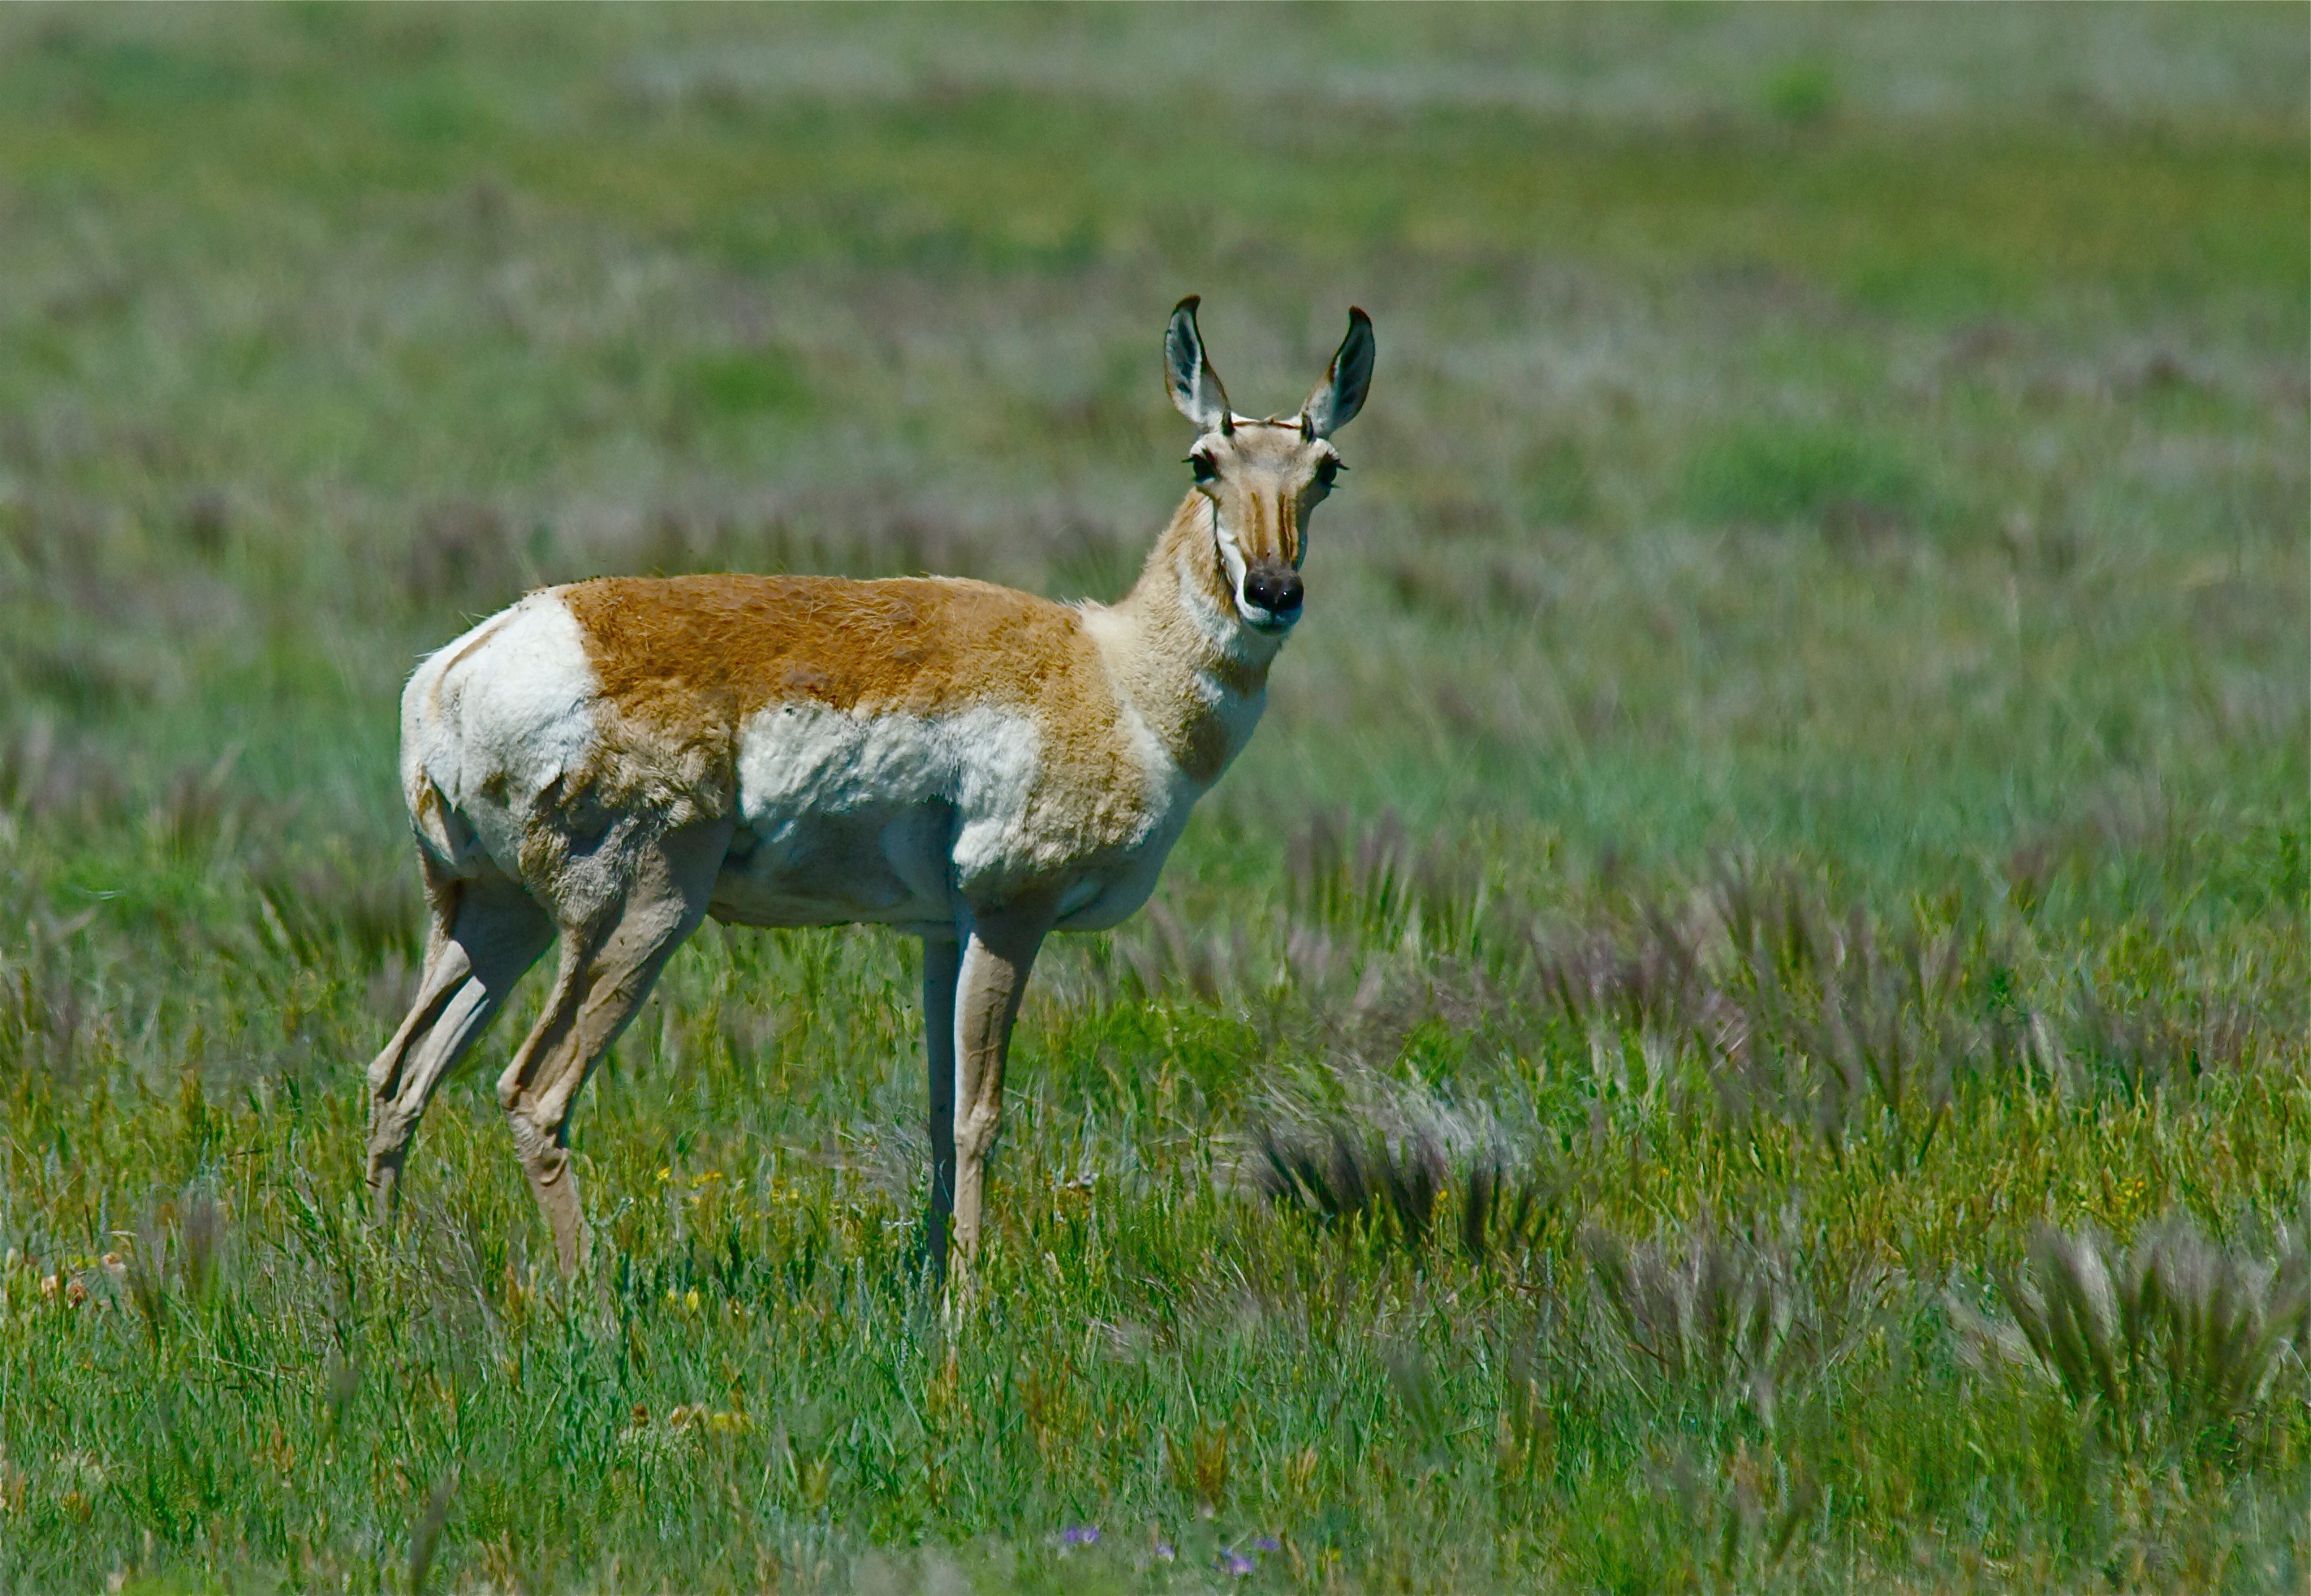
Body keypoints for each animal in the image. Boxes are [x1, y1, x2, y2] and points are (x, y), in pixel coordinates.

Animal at [360, 295, 1368, 1275]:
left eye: (1326, 468)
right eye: (1204, 460)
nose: (1274, 590)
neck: (1115, 673)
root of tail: (453, 669)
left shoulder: (940, 932)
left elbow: (938, 1111)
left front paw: (934, 1282)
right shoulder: (1010, 913)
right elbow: (981, 1116)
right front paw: (968, 1300)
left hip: (496, 917)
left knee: (397, 1075)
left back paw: (385, 1274)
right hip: (638, 913)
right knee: (532, 1093)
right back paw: (590, 1301)